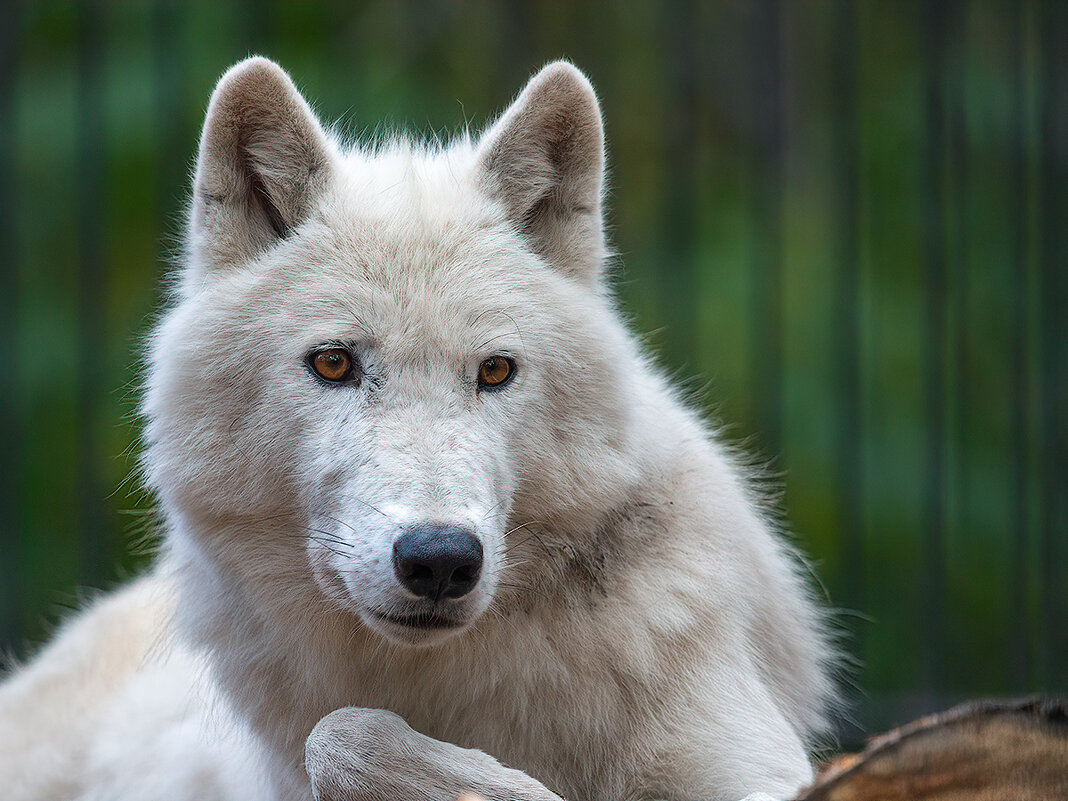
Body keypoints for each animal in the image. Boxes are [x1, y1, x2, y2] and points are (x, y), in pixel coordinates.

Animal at [0, 57, 833, 801]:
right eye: (333, 362)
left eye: (495, 370)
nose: (440, 559)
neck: (454, 684)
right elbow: (340, 732)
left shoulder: (761, 764)